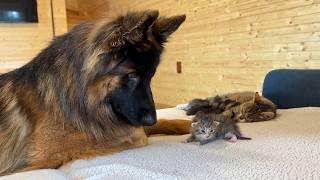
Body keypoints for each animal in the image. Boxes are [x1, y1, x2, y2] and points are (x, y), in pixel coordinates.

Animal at [0, 10, 190, 176]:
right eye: (133, 75)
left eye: (151, 76)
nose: (151, 120)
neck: (78, 93)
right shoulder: (52, 150)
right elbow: (137, 134)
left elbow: (162, 121)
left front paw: (189, 123)